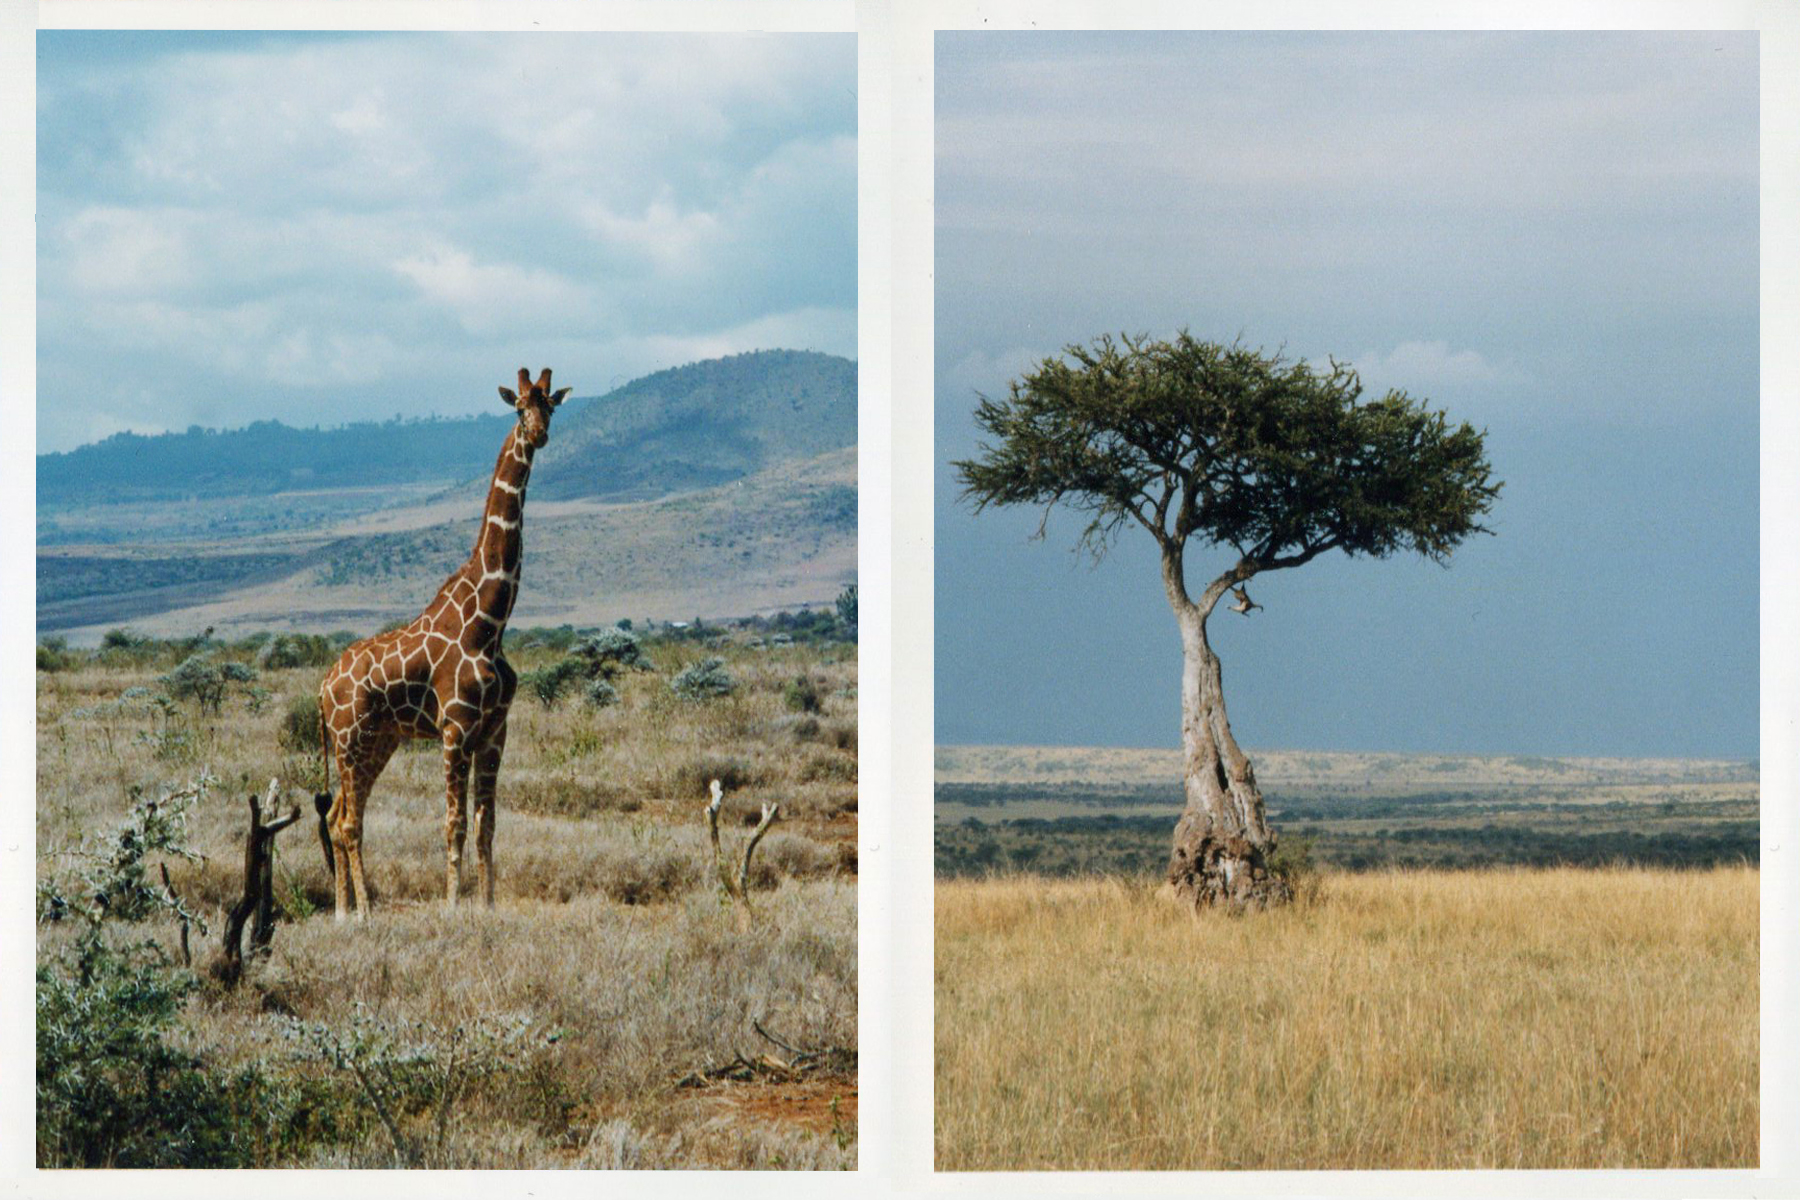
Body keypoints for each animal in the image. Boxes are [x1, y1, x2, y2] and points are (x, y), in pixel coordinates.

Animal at [318, 367, 570, 920]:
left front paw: (489, 903)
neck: (491, 622)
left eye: (551, 406)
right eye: (519, 406)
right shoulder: (455, 730)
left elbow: (486, 825)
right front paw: (454, 905)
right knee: (347, 821)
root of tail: (321, 688)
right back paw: (364, 910)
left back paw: (343, 909)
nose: (539, 434)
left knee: (337, 816)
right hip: (348, 739)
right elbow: (452, 824)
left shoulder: (494, 730)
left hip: (379, 741)